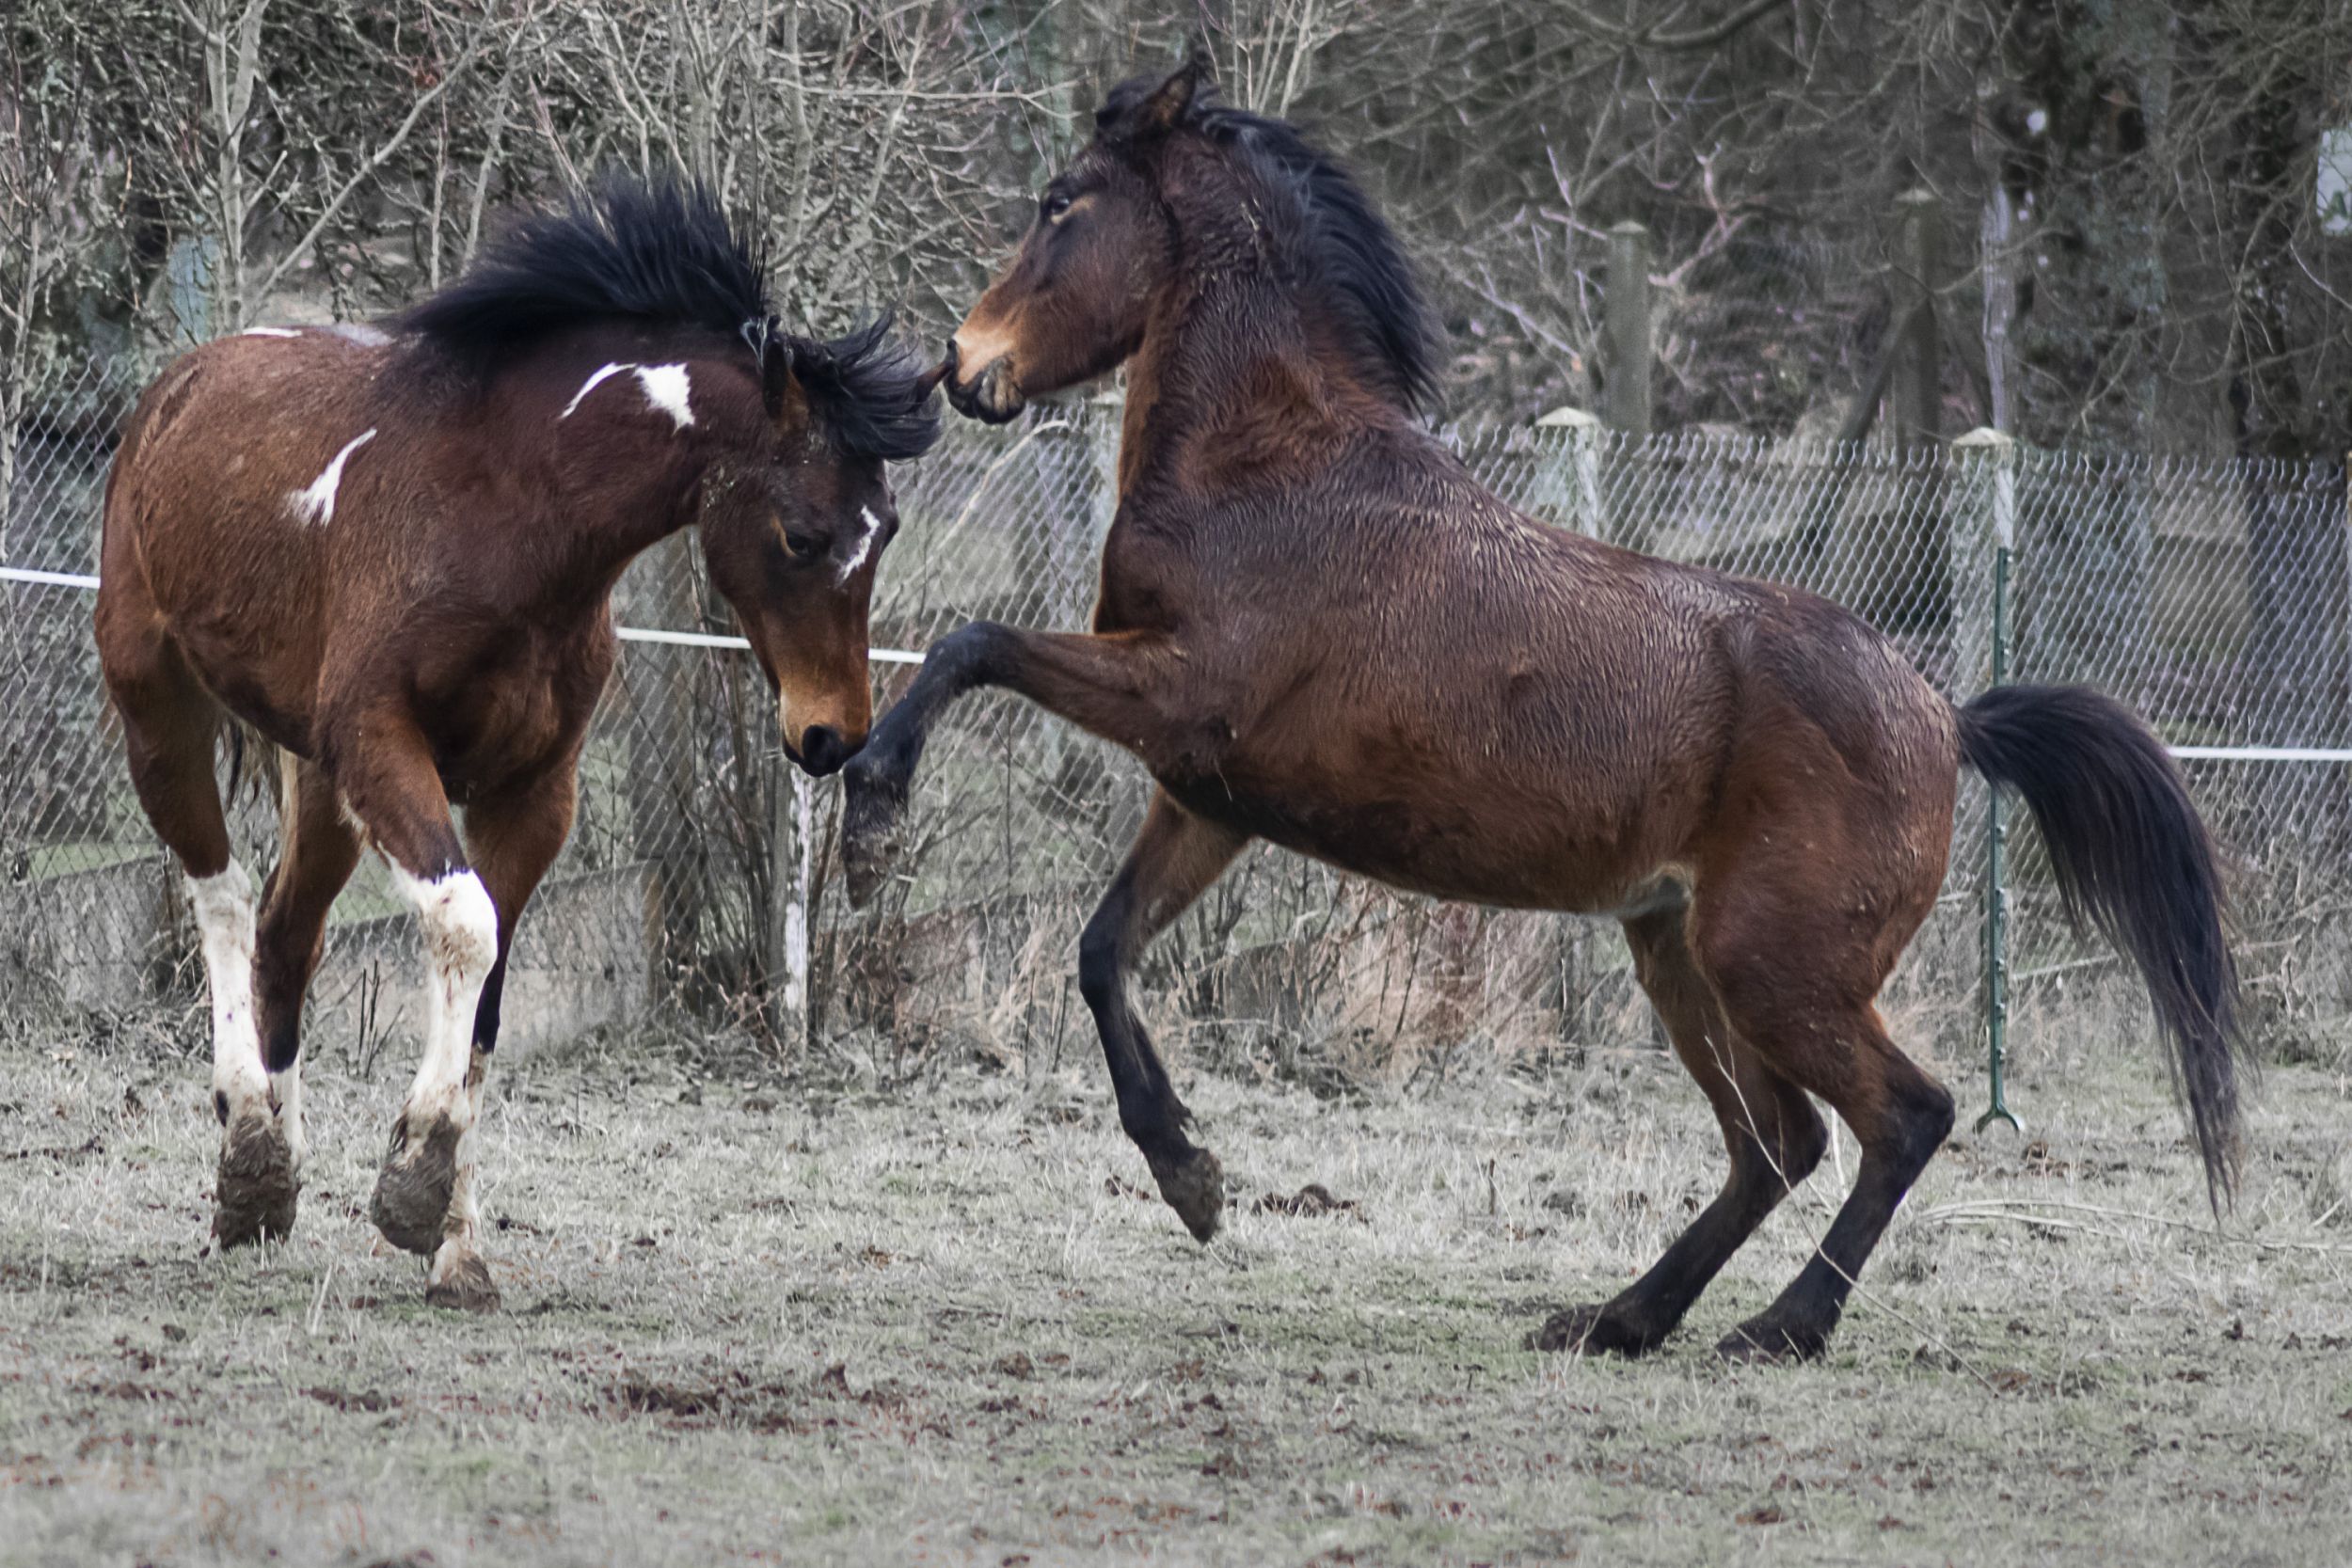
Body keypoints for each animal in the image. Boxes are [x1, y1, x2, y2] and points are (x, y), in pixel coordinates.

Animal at [103, 177, 936, 1316]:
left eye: (884, 527)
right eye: (803, 535)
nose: (831, 735)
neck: (507, 514)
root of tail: (174, 389)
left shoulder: (533, 793)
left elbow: (491, 989)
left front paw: (453, 1244)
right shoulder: (382, 743)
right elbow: (464, 925)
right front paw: (412, 1180)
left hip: (317, 784)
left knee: (287, 931)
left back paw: (275, 1180)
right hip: (162, 712)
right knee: (222, 899)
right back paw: (248, 1160)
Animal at [847, 61, 2239, 1363]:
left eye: (1060, 203)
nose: (962, 368)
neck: (1273, 471)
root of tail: (1948, 717)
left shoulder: (1175, 694)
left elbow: (971, 644)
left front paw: (870, 806)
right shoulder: (1207, 798)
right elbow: (1102, 949)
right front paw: (1191, 1175)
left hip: (1775, 967)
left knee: (1903, 1116)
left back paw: (1778, 1327)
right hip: (1681, 956)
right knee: (1778, 1143)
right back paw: (1621, 1316)